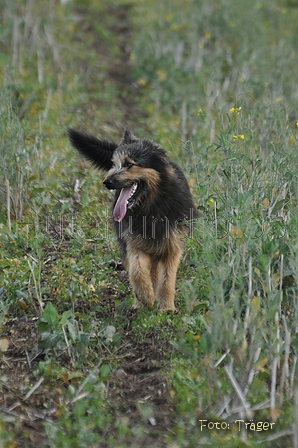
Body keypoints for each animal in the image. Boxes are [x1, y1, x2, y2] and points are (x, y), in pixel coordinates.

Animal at [67, 126, 198, 308]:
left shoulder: (172, 246)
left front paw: (167, 308)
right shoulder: (135, 242)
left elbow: (167, 279)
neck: (151, 207)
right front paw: (145, 297)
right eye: (114, 164)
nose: (106, 182)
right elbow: (137, 271)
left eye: (129, 164)